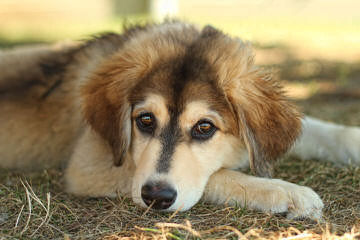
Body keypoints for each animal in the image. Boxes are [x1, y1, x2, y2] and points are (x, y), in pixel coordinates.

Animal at [0, 20, 360, 219]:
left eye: (205, 127)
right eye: (145, 120)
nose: (156, 198)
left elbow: (317, 130)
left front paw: (353, 140)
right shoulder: (88, 166)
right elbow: (218, 175)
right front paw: (286, 192)